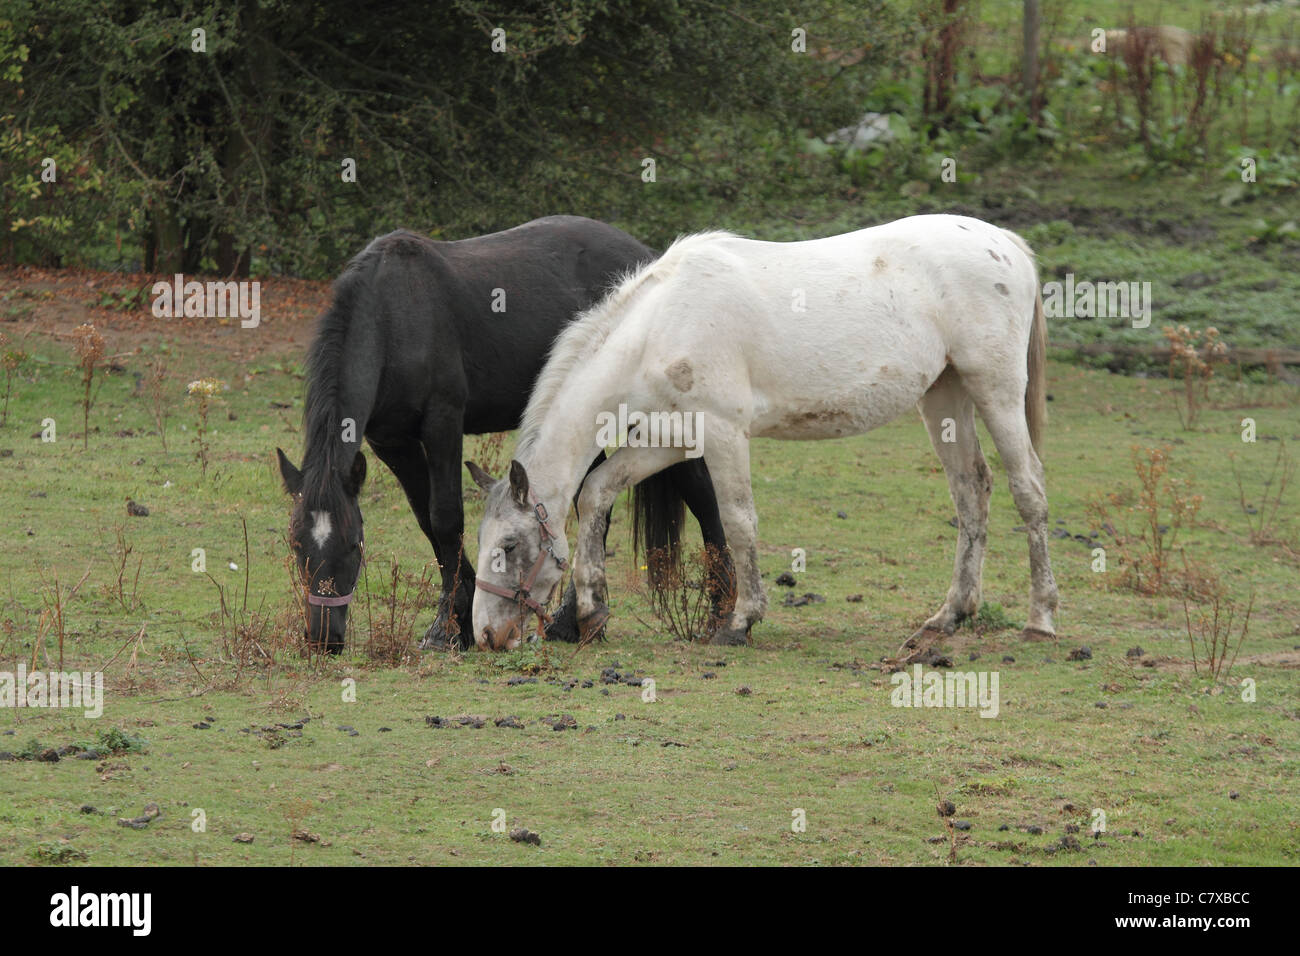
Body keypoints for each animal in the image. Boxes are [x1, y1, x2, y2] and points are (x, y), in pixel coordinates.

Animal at [275, 216, 729, 653]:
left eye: (354, 545)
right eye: (297, 546)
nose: (323, 638)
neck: (394, 316)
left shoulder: (443, 423)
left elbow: (445, 518)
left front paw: (445, 628)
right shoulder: (392, 441)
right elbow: (427, 521)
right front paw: (460, 617)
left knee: (701, 493)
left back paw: (721, 613)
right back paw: (573, 622)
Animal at [471, 214, 1059, 651]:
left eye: (510, 545)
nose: (487, 636)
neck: (660, 326)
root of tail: (1002, 241)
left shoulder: (724, 434)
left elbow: (738, 521)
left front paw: (740, 622)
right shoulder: (672, 439)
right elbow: (597, 491)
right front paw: (592, 611)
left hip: (995, 389)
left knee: (1028, 489)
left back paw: (1040, 620)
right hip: (944, 395)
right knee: (972, 490)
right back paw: (951, 615)